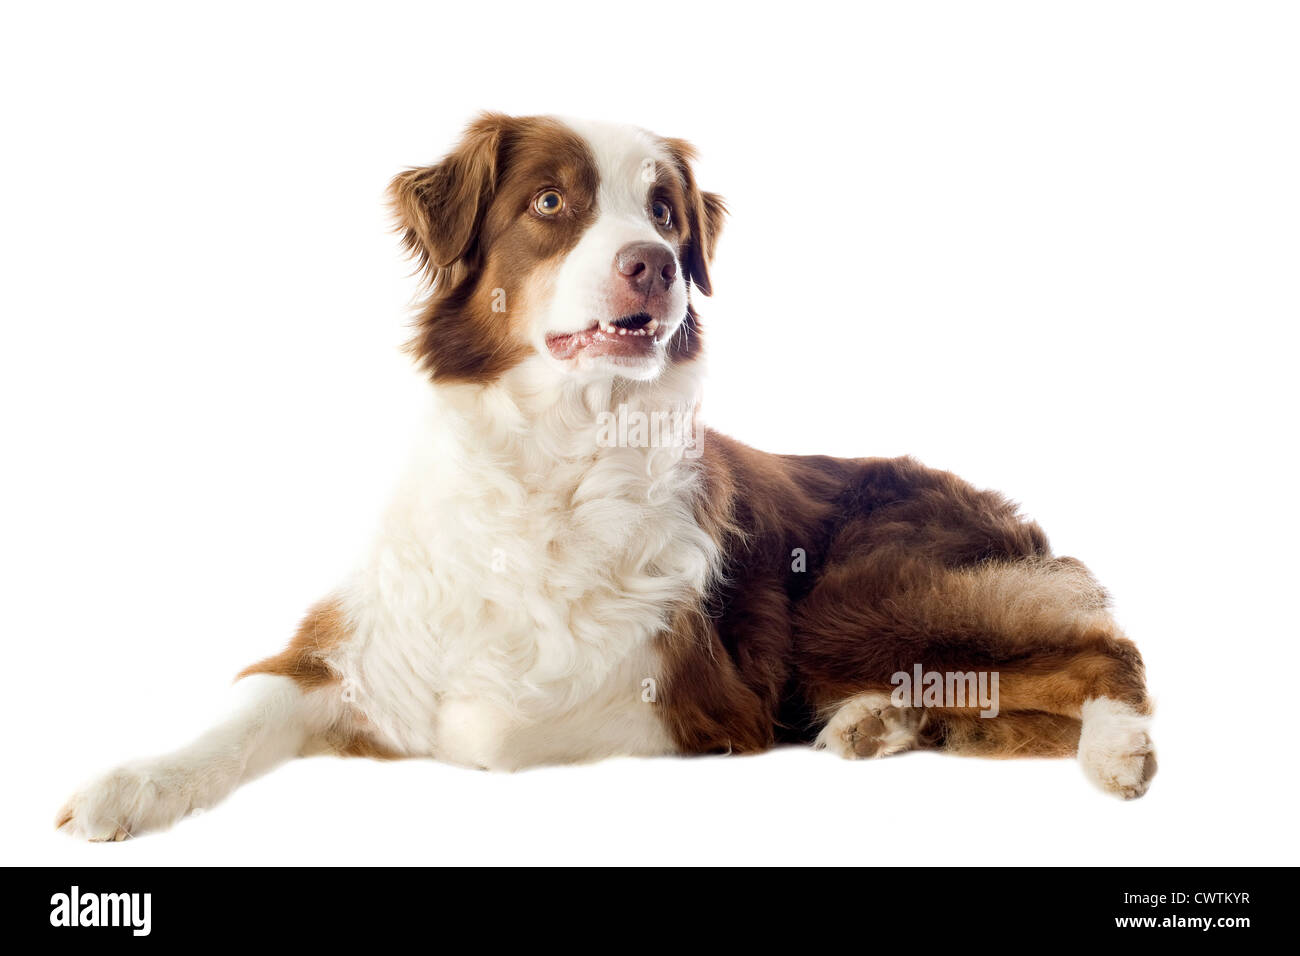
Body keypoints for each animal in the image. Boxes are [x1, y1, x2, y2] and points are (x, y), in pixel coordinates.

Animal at [58, 115, 1159, 842]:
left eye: (666, 213)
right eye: (551, 202)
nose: (656, 264)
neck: (556, 447)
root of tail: (1005, 510)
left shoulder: (692, 696)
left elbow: (492, 723)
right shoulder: (353, 640)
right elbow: (242, 710)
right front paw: (130, 785)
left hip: (870, 593)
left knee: (1106, 652)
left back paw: (1117, 749)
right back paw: (877, 720)